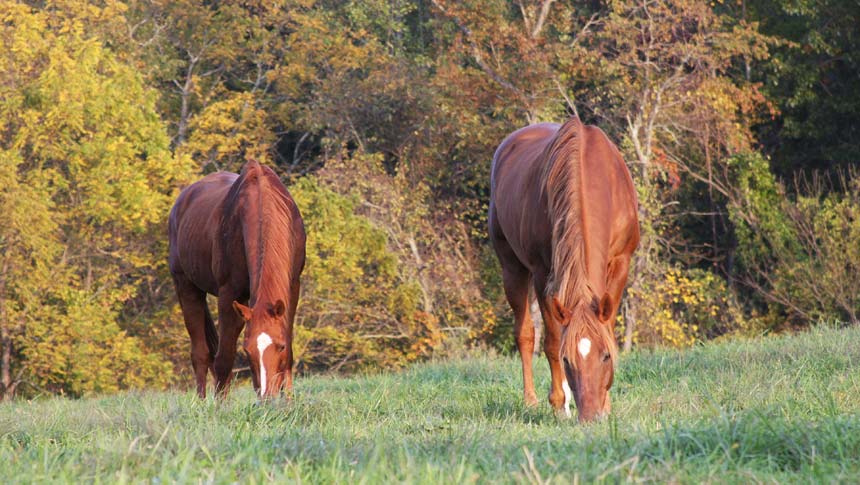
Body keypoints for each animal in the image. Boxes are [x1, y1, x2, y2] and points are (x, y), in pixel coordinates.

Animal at [168, 159, 306, 398]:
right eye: (247, 350)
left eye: (279, 346)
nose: (267, 397)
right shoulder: (228, 293)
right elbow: (224, 357)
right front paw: (220, 403)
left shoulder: (293, 286)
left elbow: (289, 348)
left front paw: (288, 398)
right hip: (186, 286)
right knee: (200, 353)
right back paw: (202, 401)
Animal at [490, 117, 640, 420]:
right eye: (568, 359)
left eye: (605, 356)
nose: (591, 416)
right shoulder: (542, 273)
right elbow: (552, 340)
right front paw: (559, 403)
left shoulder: (621, 262)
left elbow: (608, 328)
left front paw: (607, 404)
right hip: (511, 267)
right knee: (525, 334)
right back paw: (532, 400)